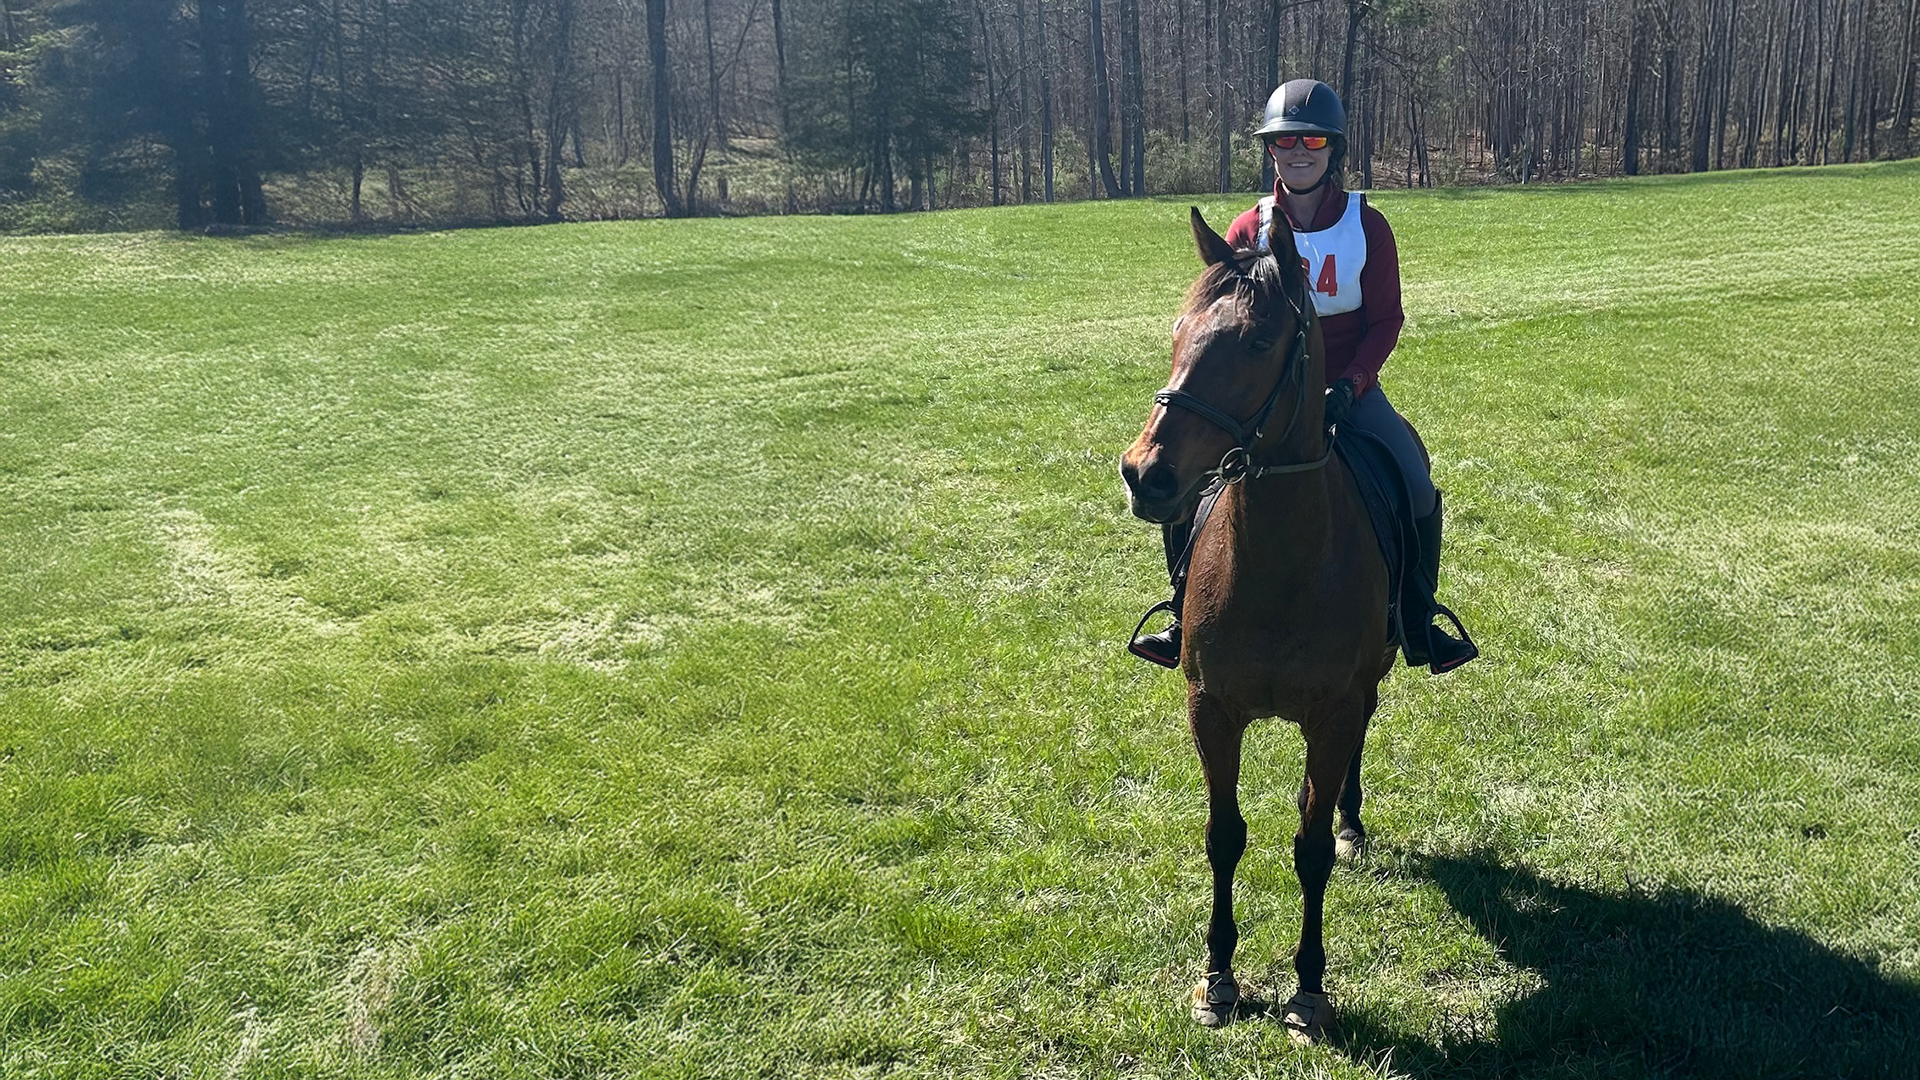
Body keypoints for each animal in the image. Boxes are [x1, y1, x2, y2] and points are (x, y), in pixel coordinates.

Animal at [1118, 206, 1399, 1043]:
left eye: (1254, 343)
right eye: (1179, 331)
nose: (1145, 473)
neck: (1280, 560)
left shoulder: (1332, 715)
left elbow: (1308, 849)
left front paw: (1309, 988)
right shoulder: (1211, 709)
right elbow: (1225, 836)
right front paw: (1217, 978)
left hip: (1367, 688)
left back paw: (1352, 822)